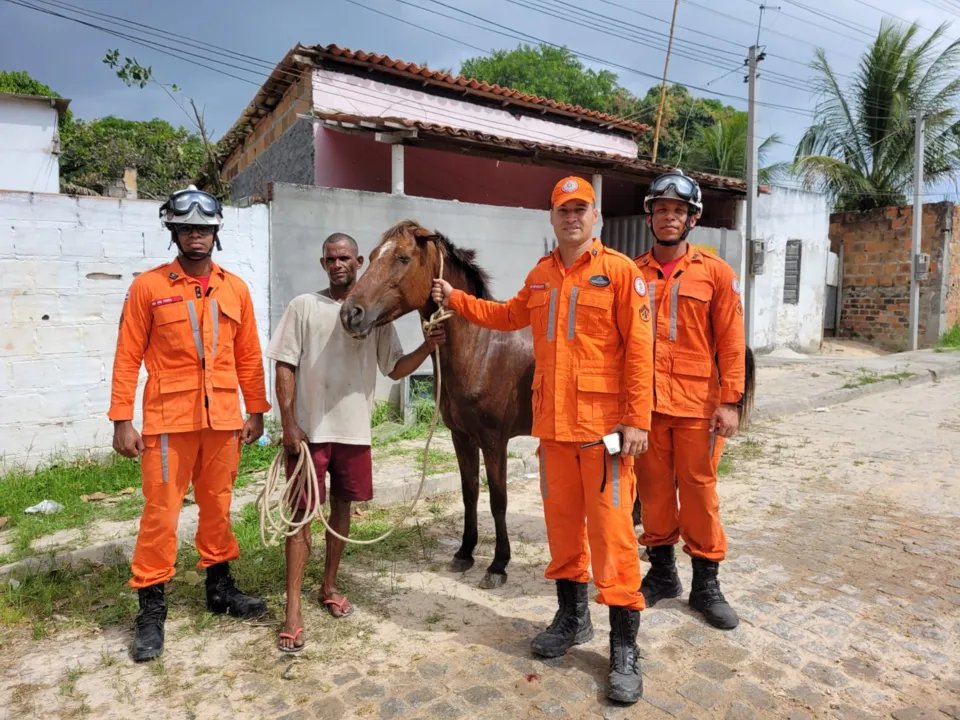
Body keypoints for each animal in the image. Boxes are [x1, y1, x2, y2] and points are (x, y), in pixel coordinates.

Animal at [340, 221, 536, 592]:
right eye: (370, 257)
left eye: (402, 257)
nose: (349, 313)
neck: (481, 349)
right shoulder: (462, 437)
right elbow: (469, 493)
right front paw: (465, 552)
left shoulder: (494, 442)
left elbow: (498, 499)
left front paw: (498, 565)